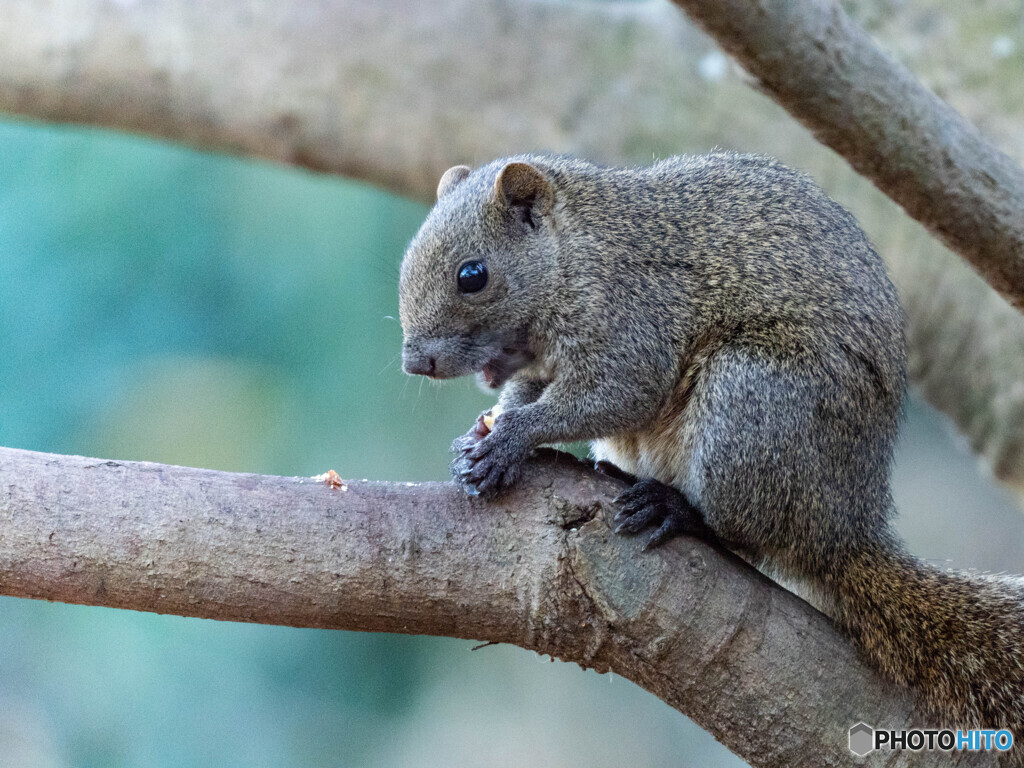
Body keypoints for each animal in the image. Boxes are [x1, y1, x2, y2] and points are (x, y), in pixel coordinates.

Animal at [395, 154, 1024, 753]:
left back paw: (674, 509)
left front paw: (506, 439)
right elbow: (527, 392)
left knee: (745, 532)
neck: (576, 253)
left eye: (473, 276)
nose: (414, 362)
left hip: (749, 405)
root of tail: (843, 528)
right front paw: (480, 437)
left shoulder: (632, 323)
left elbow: (612, 394)